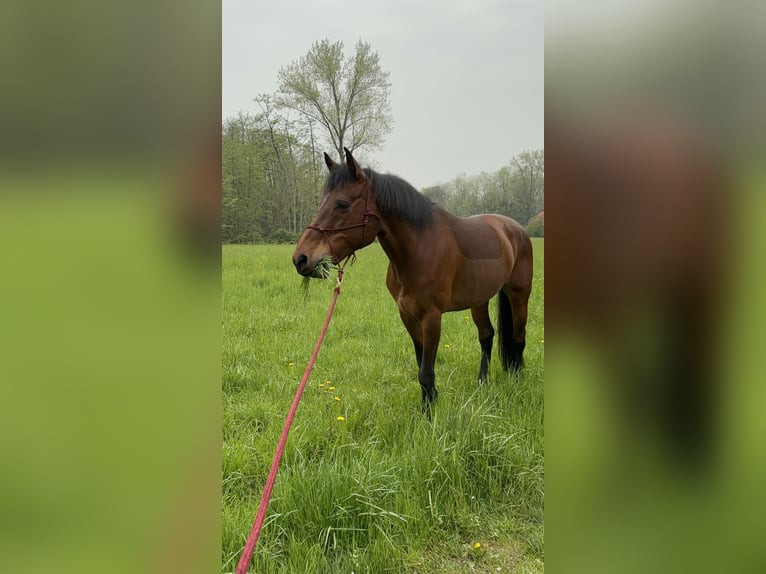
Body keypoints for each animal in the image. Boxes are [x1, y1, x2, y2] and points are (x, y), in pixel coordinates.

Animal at [292, 146, 536, 412]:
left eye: (342, 204)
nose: (301, 259)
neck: (419, 249)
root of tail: (514, 228)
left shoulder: (431, 318)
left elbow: (426, 372)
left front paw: (430, 415)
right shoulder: (407, 315)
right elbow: (421, 366)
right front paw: (428, 405)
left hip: (519, 296)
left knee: (519, 338)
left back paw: (518, 381)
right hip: (479, 299)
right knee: (487, 336)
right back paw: (482, 382)